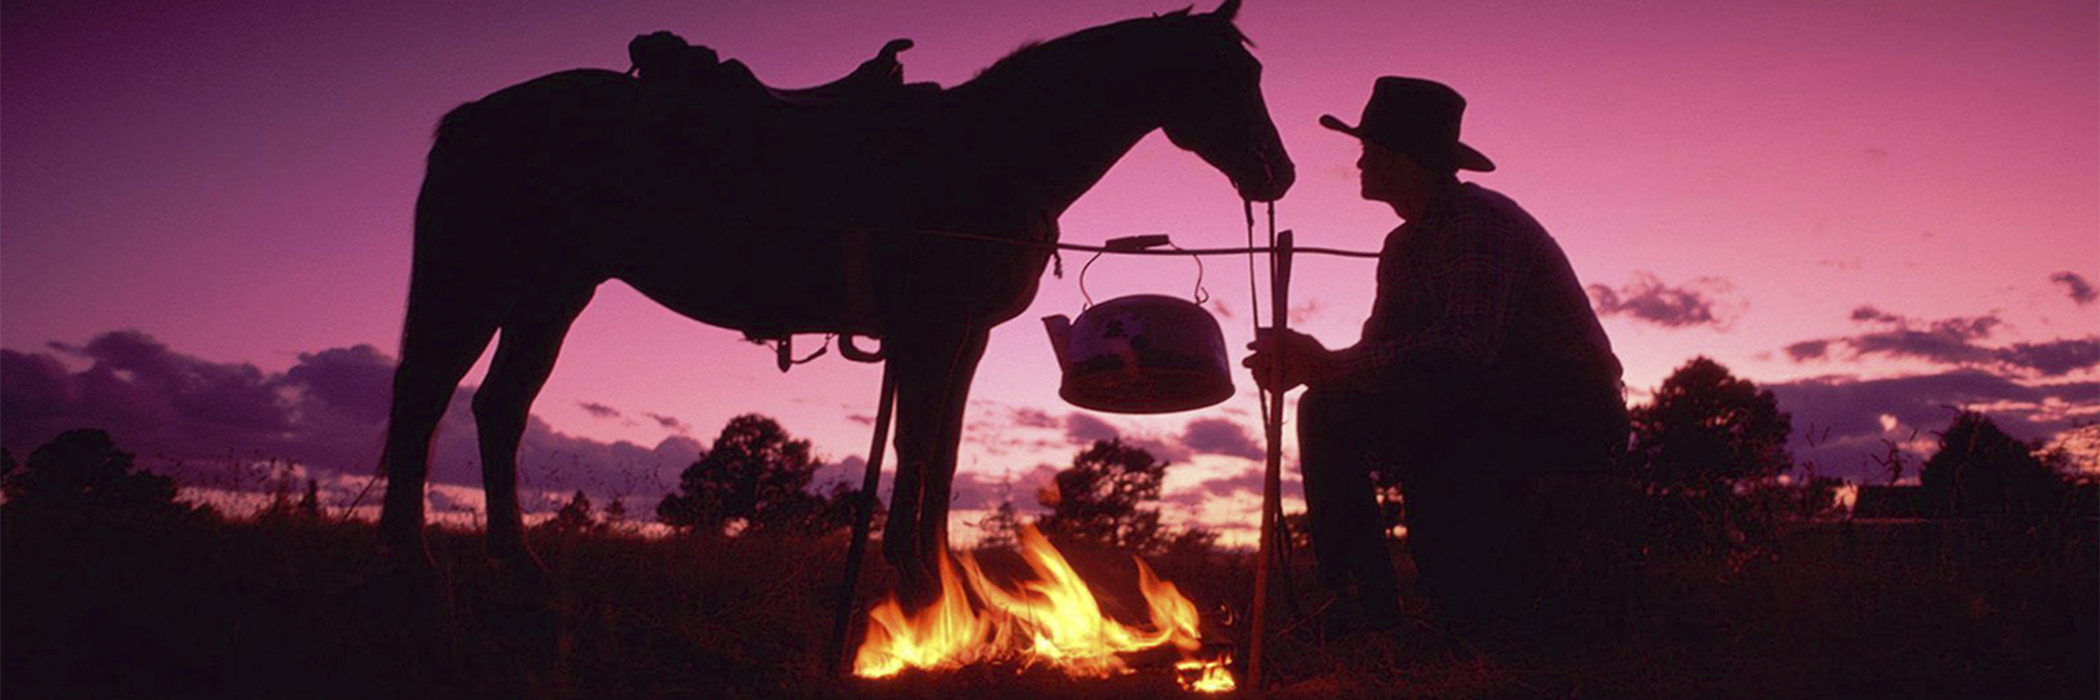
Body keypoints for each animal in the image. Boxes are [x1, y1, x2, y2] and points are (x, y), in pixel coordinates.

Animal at [380, 0, 1293, 601]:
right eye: (1231, 72)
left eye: (1254, 69)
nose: (1277, 174)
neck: (993, 149)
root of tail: (476, 115)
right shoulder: (932, 333)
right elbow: (918, 450)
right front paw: (918, 582)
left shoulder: (964, 339)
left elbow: (941, 454)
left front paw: (933, 573)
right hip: (480, 286)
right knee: (427, 398)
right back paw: (410, 561)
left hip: (550, 294)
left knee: (497, 408)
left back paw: (515, 565)